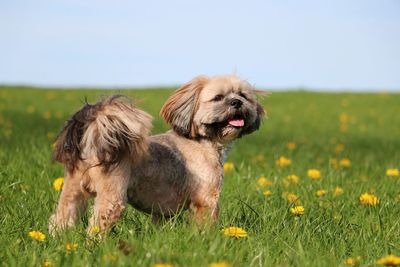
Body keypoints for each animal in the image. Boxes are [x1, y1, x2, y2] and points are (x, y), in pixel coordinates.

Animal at [48, 75, 264, 234]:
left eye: (243, 95)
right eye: (218, 98)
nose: (236, 102)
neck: (202, 141)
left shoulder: (161, 210)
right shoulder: (206, 200)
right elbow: (204, 226)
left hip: (72, 191)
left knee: (60, 218)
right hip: (112, 197)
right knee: (96, 227)